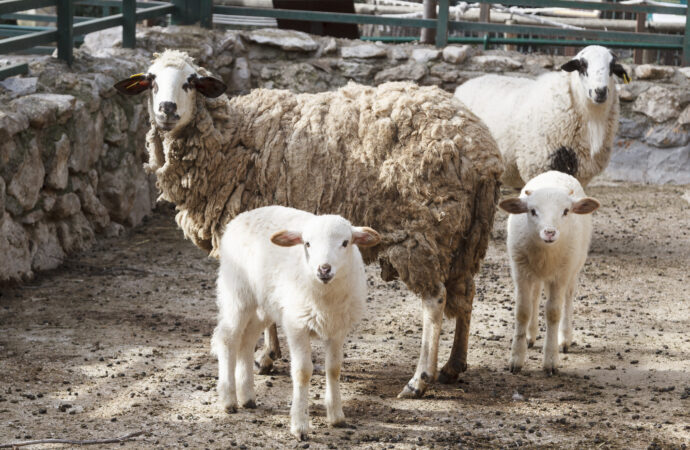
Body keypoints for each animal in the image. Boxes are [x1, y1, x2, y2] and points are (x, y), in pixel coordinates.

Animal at [111, 50, 500, 400]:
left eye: (190, 82)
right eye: (151, 81)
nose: (167, 110)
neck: (230, 138)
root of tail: (483, 152)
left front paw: (266, 357)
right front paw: (271, 354)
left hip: (425, 232)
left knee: (435, 302)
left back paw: (420, 379)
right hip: (465, 236)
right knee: (466, 294)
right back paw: (453, 365)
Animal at [211, 206, 378, 442]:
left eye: (345, 242)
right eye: (307, 243)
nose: (324, 269)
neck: (325, 298)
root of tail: (243, 215)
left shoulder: (337, 330)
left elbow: (334, 369)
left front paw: (336, 416)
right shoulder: (297, 325)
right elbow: (302, 372)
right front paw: (300, 425)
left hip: (265, 304)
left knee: (247, 340)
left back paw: (247, 396)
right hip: (238, 293)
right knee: (228, 338)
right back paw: (229, 400)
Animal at [454, 44, 628, 188]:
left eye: (612, 67)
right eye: (582, 65)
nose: (600, 91)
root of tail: (465, 85)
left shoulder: (580, 174)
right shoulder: (538, 165)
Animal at [498, 171, 600, 374]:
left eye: (566, 211)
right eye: (532, 211)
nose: (550, 232)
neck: (545, 253)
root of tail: (555, 172)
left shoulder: (560, 275)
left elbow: (553, 312)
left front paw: (551, 360)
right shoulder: (520, 271)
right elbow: (522, 311)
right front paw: (516, 358)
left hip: (574, 267)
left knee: (568, 299)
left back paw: (565, 339)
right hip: (534, 273)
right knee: (535, 297)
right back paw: (530, 335)